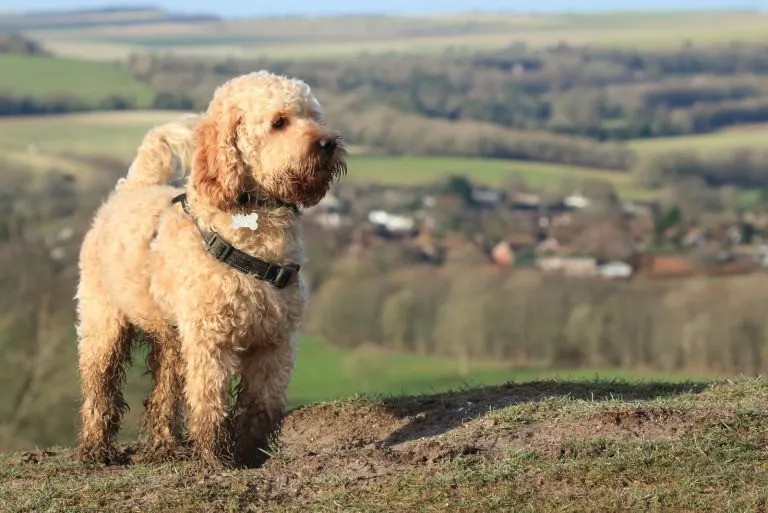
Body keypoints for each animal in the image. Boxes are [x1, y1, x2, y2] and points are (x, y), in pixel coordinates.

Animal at [75, 72, 344, 468]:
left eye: (313, 116)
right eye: (279, 122)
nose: (328, 143)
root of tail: (131, 189)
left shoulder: (274, 341)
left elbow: (261, 405)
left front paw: (251, 454)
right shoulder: (210, 341)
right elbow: (209, 402)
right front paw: (215, 458)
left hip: (171, 338)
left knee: (164, 391)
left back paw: (165, 446)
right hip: (104, 326)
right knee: (100, 388)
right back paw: (97, 450)